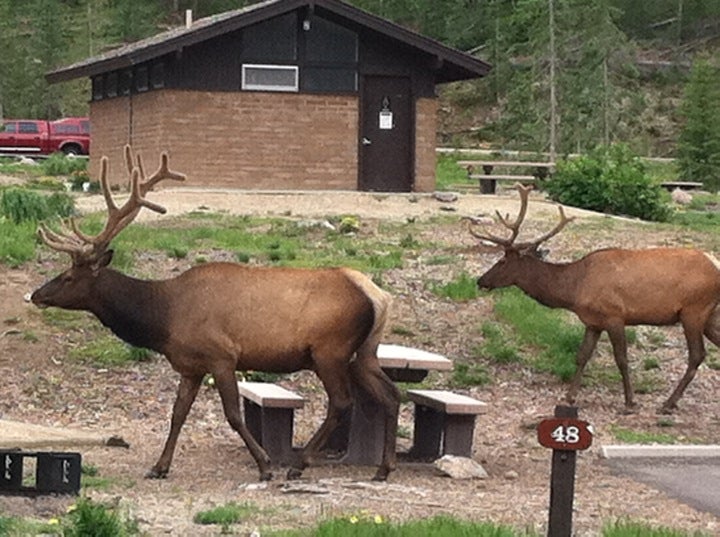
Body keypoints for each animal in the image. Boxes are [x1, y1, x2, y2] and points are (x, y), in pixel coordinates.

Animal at [32, 144, 400, 480]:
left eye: (68, 276)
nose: (36, 294)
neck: (164, 319)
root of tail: (377, 294)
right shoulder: (190, 365)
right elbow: (177, 413)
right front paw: (159, 466)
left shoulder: (222, 355)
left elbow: (233, 414)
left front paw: (265, 464)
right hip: (364, 352)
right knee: (391, 395)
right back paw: (383, 468)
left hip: (330, 350)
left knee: (342, 402)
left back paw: (299, 464)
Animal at [472, 182, 720, 412]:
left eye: (502, 260)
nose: (480, 280)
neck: (575, 289)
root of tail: (715, 265)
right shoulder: (593, 322)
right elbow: (582, 356)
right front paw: (570, 396)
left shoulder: (614, 316)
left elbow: (621, 359)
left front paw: (630, 401)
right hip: (710, 316)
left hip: (694, 310)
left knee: (697, 355)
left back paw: (668, 403)